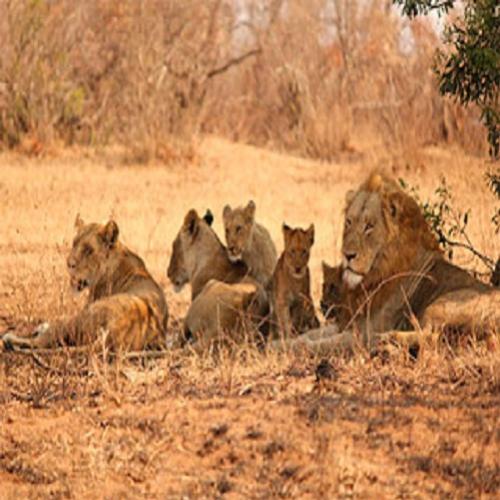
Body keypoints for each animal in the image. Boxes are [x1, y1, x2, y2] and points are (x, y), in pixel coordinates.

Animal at [1, 216, 170, 352]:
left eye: (88, 250)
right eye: (74, 244)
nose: (69, 264)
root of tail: (114, 333)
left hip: (85, 315)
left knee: (47, 338)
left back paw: (11, 339)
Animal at [280, 172, 498, 356]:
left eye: (369, 226)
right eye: (349, 222)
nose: (347, 255)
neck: (375, 274)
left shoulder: (365, 332)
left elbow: (322, 343)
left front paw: (290, 349)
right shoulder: (351, 320)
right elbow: (311, 334)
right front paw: (279, 343)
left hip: (442, 304)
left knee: (430, 337)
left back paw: (387, 340)